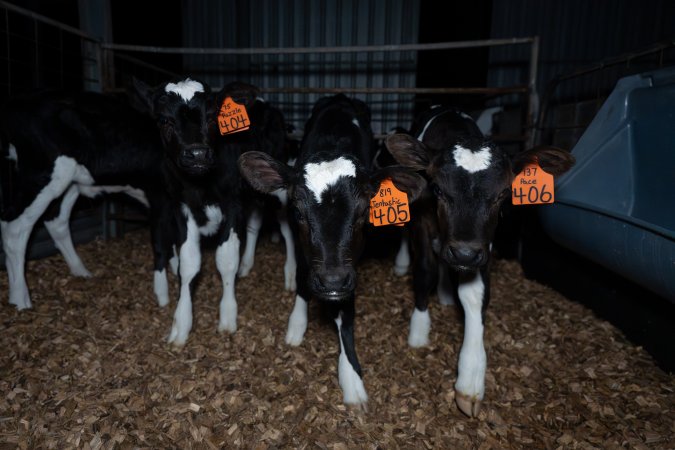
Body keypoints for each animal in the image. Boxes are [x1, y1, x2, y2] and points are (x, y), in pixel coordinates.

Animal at [238, 94, 426, 406]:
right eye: (298, 211)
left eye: (364, 212)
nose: (332, 281)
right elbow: (303, 276)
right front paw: (296, 324)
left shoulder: (349, 267)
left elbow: (345, 315)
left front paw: (352, 379)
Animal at [385, 105, 574, 417]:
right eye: (437, 189)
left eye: (504, 193)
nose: (463, 254)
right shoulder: (423, 221)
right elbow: (424, 270)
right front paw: (419, 330)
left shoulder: (484, 243)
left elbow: (474, 294)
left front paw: (471, 378)